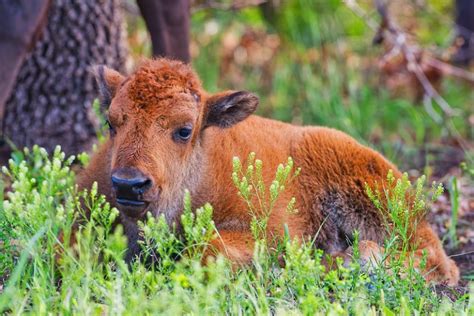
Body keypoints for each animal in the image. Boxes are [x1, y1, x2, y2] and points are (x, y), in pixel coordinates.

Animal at [76, 58, 458, 286]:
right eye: (111, 123)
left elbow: (210, 248)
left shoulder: (266, 232)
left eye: (184, 130)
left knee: (434, 258)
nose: (129, 184)